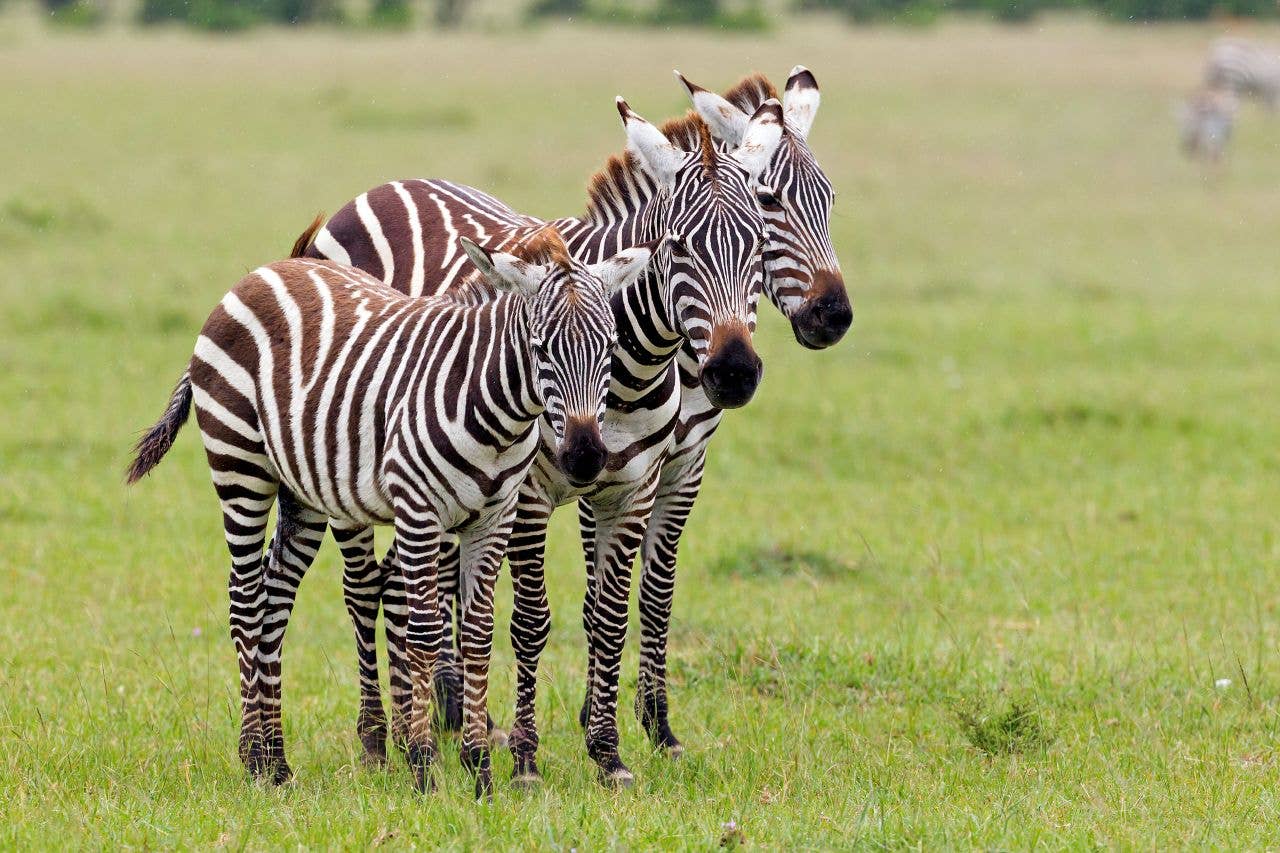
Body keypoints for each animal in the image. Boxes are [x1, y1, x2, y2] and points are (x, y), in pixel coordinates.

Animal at [125, 229, 658, 798]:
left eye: (610, 348)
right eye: (540, 350)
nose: (585, 457)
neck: (495, 415)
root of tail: (260, 273)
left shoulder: (495, 518)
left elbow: (477, 634)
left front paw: (479, 770)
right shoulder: (420, 511)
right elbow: (423, 631)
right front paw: (424, 766)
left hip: (303, 492)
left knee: (274, 601)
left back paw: (275, 761)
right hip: (239, 465)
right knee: (246, 601)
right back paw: (252, 759)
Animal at [301, 94, 784, 785]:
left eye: (761, 246)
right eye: (678, 246)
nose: (735, 372)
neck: (629, 375)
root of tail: (385, 187)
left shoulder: (632, 491)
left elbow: (609, 618)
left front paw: (607, 752)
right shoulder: (529, 493)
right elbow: (531, 620)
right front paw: (527, 758)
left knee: (405, 588)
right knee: (365, 589)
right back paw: (377, 739)